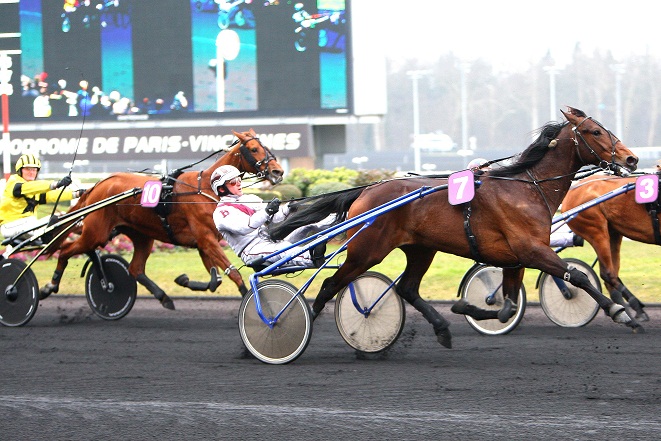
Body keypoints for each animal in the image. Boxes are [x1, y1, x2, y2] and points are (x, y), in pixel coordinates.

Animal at [40, 130, 284, 310]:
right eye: (254, 149)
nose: (278, 171)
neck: (205, 188)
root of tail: (98, 185)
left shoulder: (205, 243)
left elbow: (216, 280)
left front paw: (185, 280)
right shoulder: (206, 240)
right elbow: (232, 274)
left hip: (141, 235)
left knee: (135, 268)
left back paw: (164, 297)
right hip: (97, 233)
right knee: (66, 250)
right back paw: (49, 286)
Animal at [268, 107, 640, 348]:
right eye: (595, 131)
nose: (631, 158)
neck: (527, 188)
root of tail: (367, 191)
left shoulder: (515, 257)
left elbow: (506, 306)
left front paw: (465, 308)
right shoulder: (532, 250)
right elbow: (576, 277)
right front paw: (620, 311)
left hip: (421, 249)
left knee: (407, 289)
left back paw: (442, 328)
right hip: (367, 251)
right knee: (330, 284)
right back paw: (292, 326)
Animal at [560, 174, 656, 322]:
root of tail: (571, 192)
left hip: (613, 231)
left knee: (612, 275)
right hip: (596, 230)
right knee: (608, 274)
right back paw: (632, 310)